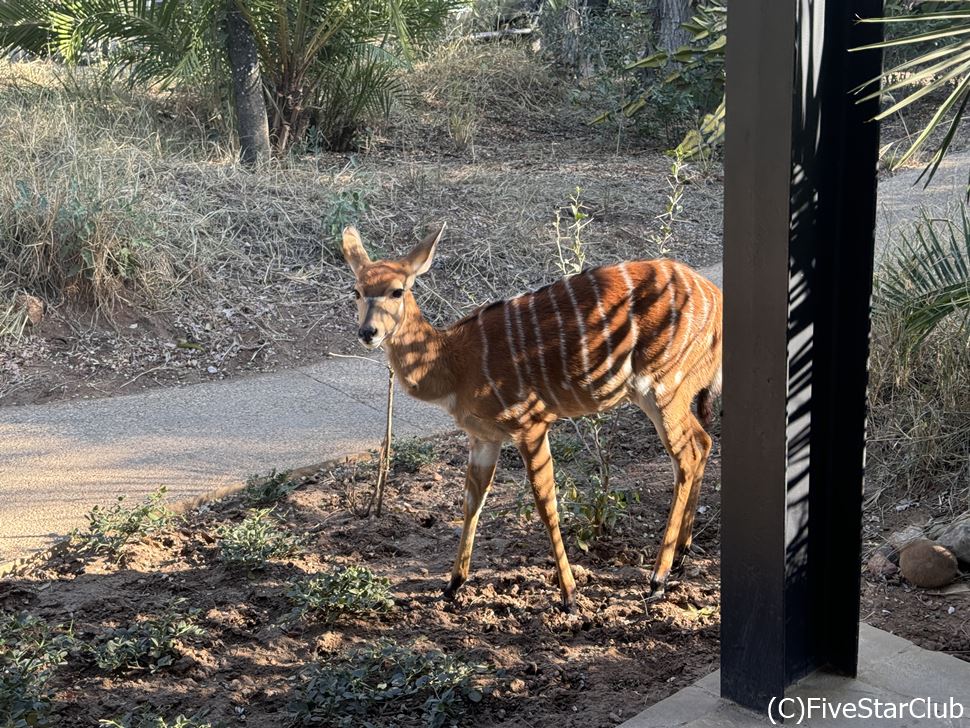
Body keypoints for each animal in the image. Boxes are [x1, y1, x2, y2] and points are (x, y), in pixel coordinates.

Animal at [340, 223, 720, 608]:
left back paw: (658, 578)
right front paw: (453, 584)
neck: (456, 363)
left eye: (397, 290)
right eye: (356, 291)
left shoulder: (531, 423)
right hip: (666, 394)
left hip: (662, 387)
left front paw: (569, 594)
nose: (368, 332)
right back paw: (681, 555)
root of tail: (713, 295)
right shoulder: (483, 436)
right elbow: (472, 500)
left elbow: (545, 502)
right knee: (702, 442)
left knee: (687, 453)